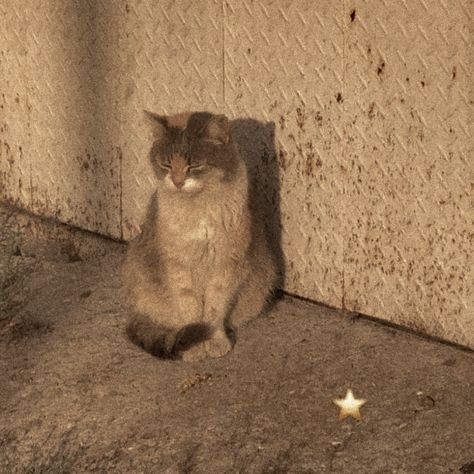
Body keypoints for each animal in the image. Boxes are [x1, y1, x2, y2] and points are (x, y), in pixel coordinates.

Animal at [123, 111, 278, 362]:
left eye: (194, 165)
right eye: (166, 164)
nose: (177, 182)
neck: (198, 210)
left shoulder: (226, 266)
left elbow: (214, 309)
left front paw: (215, 343)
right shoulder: (178, 266)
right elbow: (190, 307)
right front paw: (195, 348)